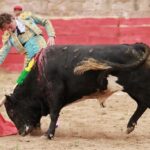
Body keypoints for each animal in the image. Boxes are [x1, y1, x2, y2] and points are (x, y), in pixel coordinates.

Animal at [2, 42, 150, 139]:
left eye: (12, 111)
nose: (21, 132)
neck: (39, 72)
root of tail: (134, 47)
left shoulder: (55, 91)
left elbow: (54, 114)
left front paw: (48, 134)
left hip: (137, 86)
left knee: (144, 103)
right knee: (142, 104)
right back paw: (130, 126)